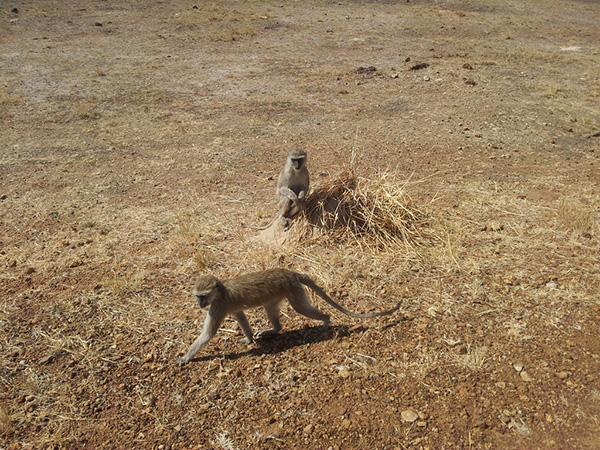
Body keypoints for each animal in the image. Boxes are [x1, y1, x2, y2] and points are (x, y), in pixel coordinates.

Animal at [176, 268, 400, 364]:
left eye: (203, 296)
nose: (200, 304)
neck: (220, 291)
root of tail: (290, 273)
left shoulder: (218, 306)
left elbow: (208, 334)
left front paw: (185, 358)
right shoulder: (227, 307)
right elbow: (241, 317)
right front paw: (249, 339)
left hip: (294, 291)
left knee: (301, 308)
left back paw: (326, 321)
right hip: (280, 293)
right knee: (271, 311)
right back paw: (273, 330)